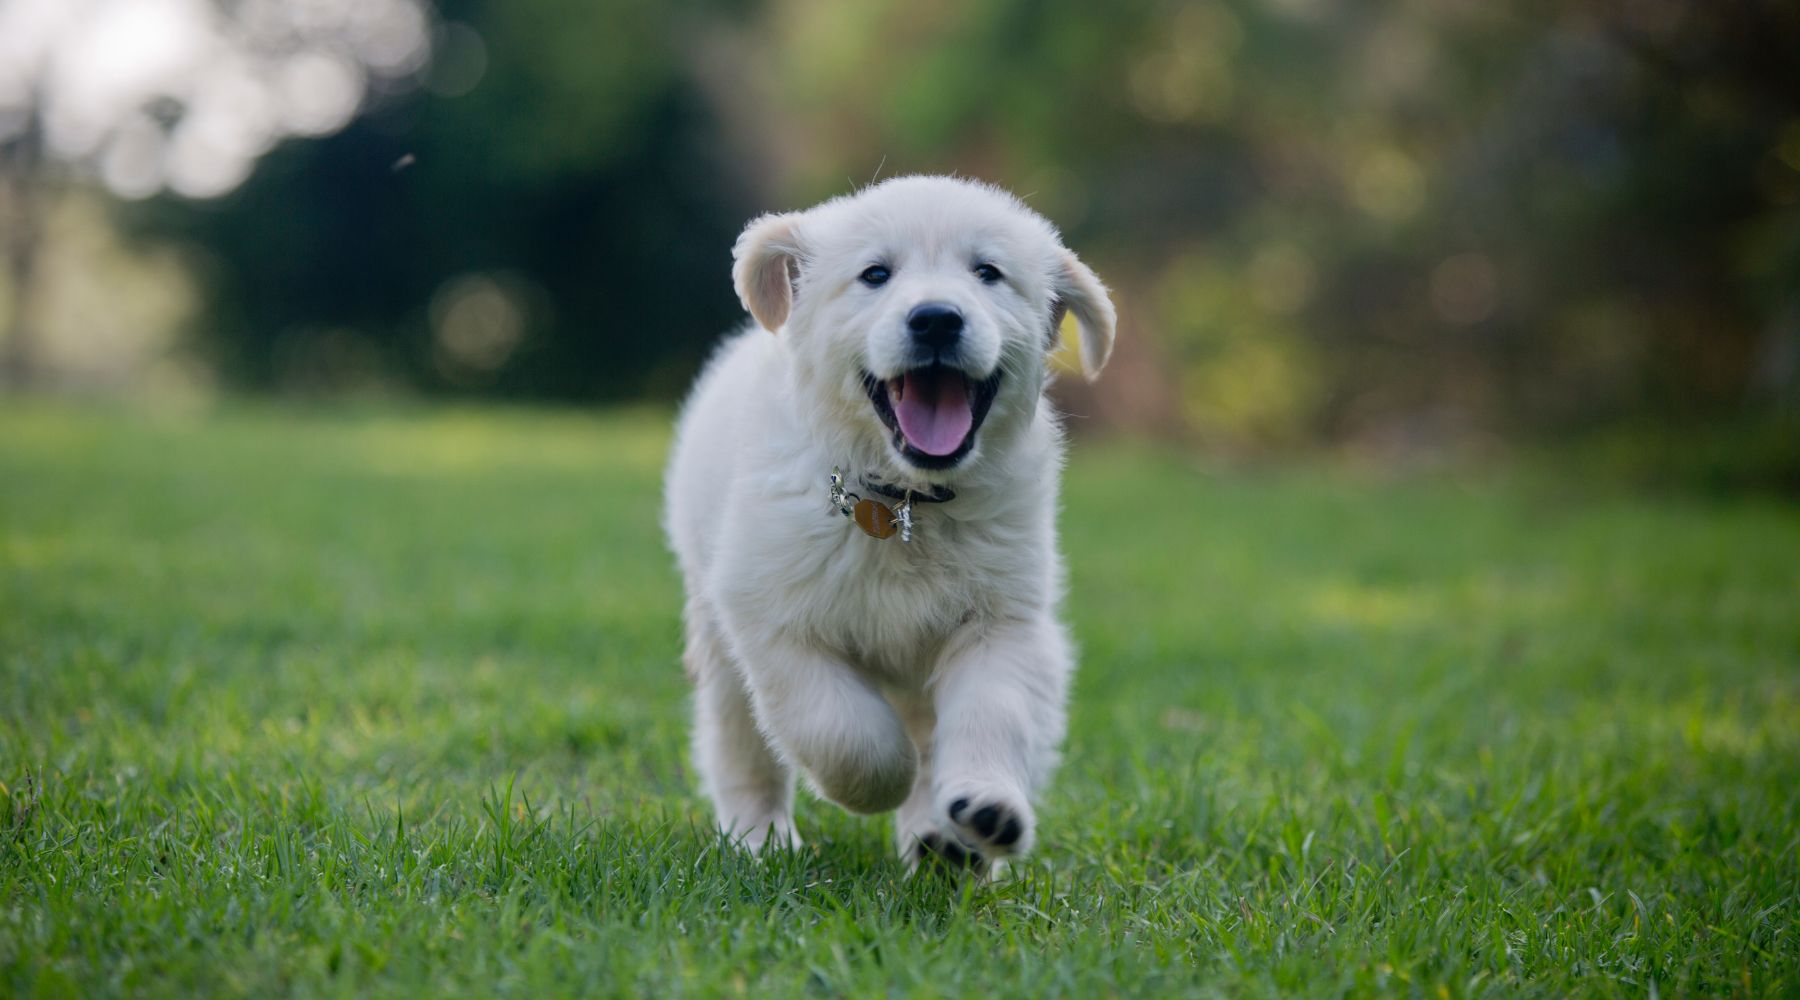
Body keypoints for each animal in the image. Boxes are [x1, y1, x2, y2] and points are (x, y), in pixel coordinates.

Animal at [662, 171, 1108, 866]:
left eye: (988, 272)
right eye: (875, 274)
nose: (936, 319)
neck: (904, 502)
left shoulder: (1003, 621)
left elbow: (993, 713)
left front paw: (987, 807)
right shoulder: (769, 615)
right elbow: (839, 726)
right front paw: (881, 781)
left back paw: (945, 845)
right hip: (717, 644)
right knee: (741, 752)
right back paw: (761, 839)